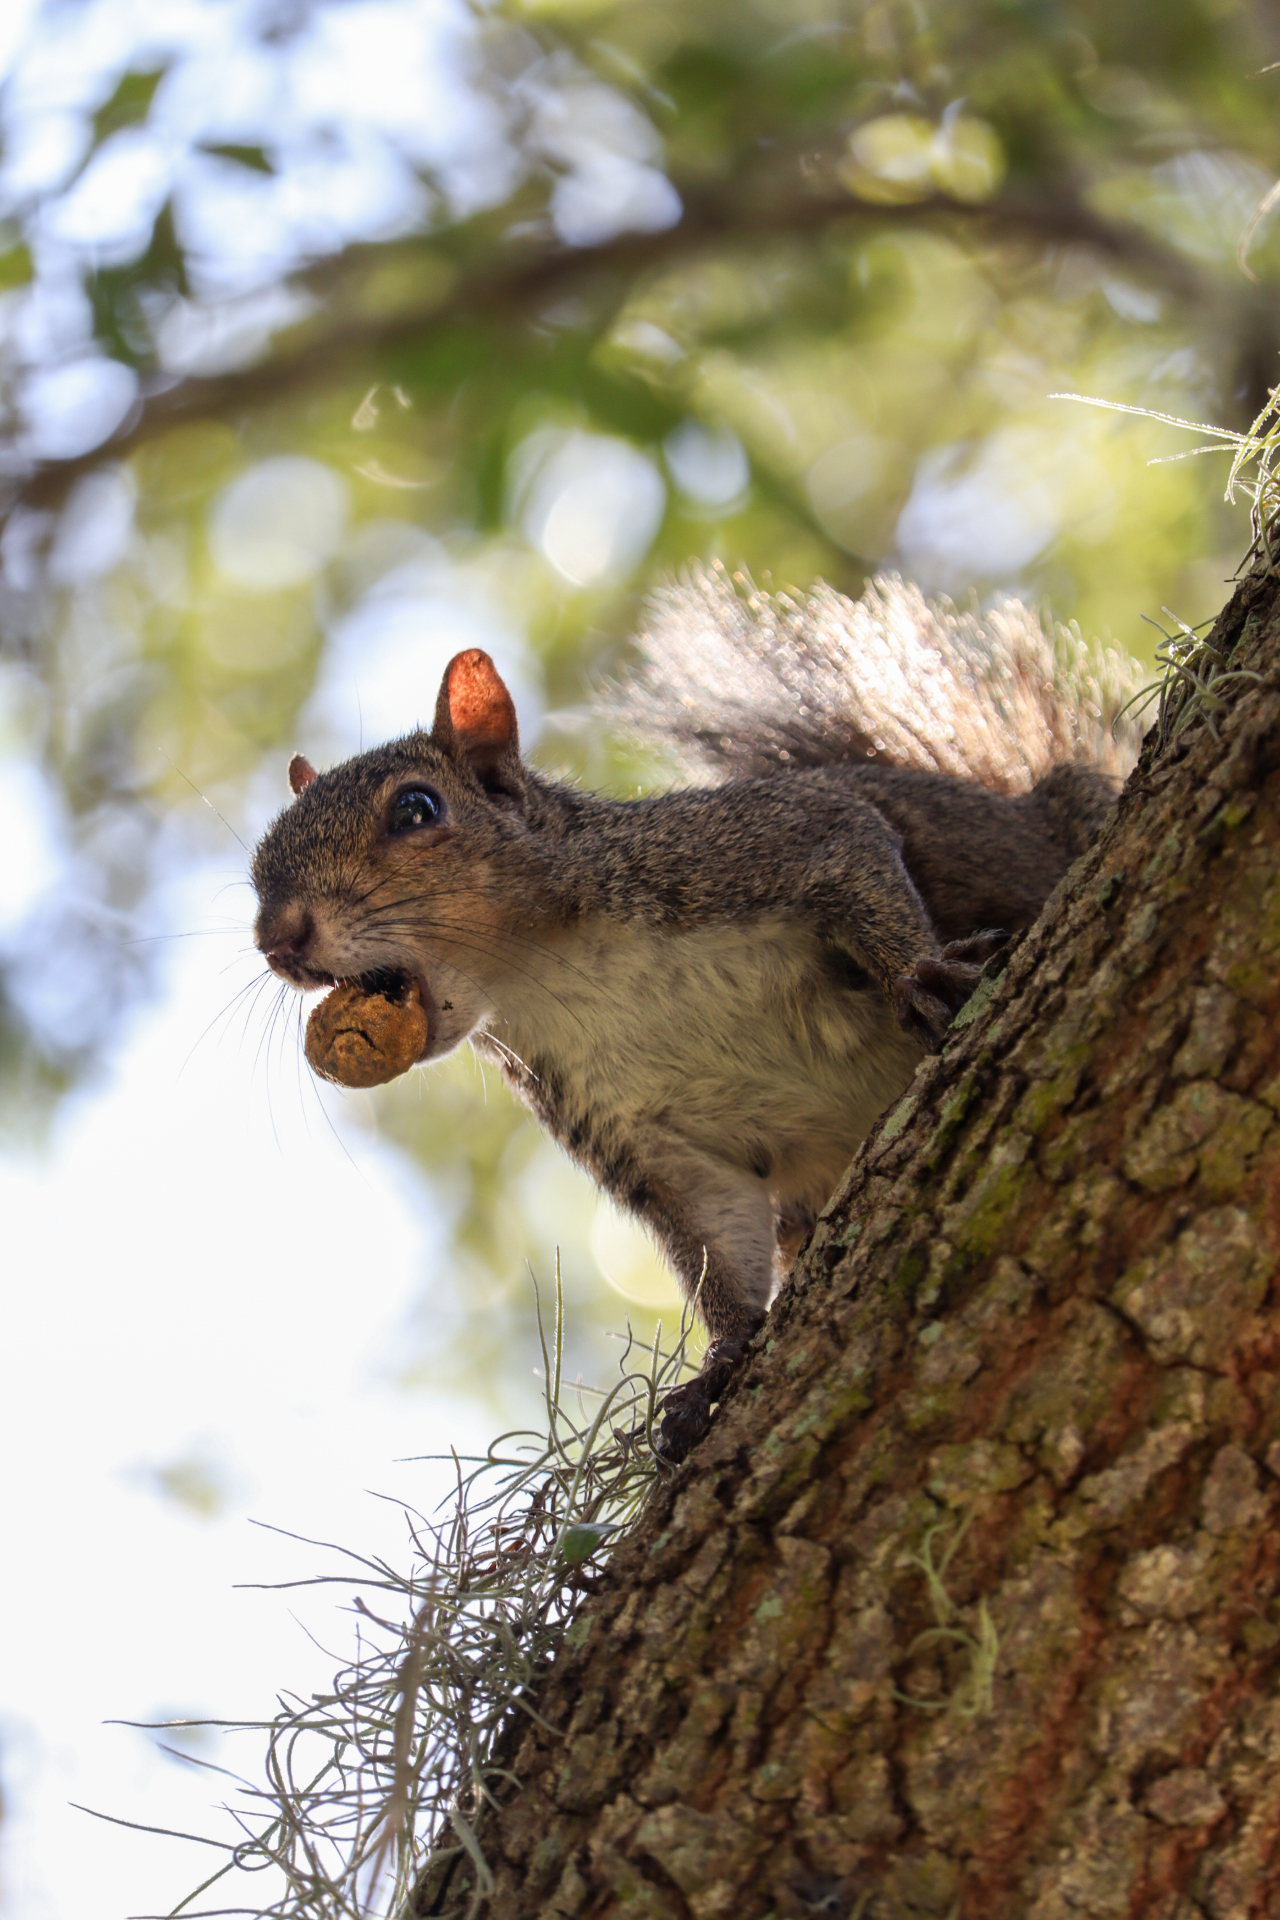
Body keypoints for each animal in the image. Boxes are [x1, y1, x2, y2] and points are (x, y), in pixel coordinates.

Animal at [251, 564, 1145, 1459]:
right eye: (258, 865)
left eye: (417, 809)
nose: (276, 938)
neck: (554, 978)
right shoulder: (644, 1139)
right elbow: (717, 1239)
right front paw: (716, 1368)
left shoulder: (752, 844)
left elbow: (855, 851)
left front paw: (920, 973)